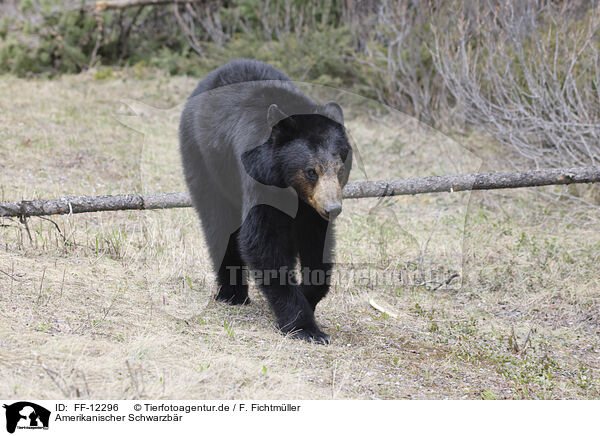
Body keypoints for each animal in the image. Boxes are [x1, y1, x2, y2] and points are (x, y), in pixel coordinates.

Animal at [180, 58, 354, 344]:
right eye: (311, 170)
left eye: (340, 169)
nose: (333, 209)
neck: (290, 188)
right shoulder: (259, 180)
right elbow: (262, 241)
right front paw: (305, 327)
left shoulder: (311, 207)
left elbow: (317, 243)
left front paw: (308, 295)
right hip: (203, 160)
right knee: (218, 223)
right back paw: (232, 294)